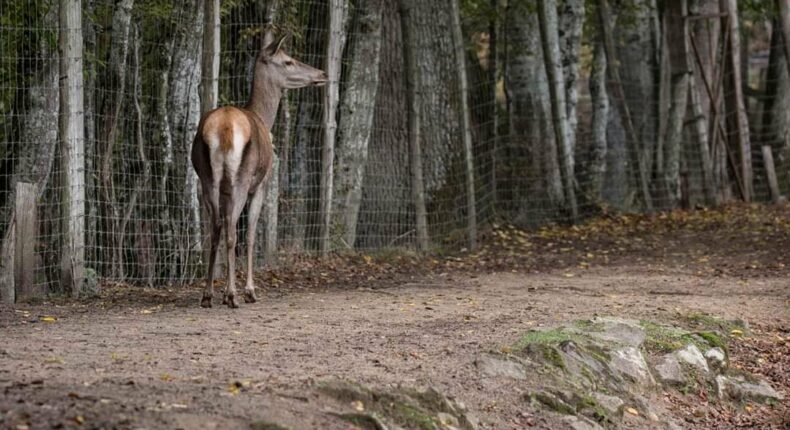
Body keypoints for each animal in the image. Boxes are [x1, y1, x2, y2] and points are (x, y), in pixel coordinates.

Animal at [192, 31, 328, 308]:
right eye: (288, 61)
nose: (322, 73)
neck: (264, 117)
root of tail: (223, 129)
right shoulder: (262, 184)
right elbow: (252, 235)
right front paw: (249, 291)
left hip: (206, 178)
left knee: (215, 228)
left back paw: (208, 295)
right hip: (242, 179)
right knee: (232, 232)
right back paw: (233, 295)